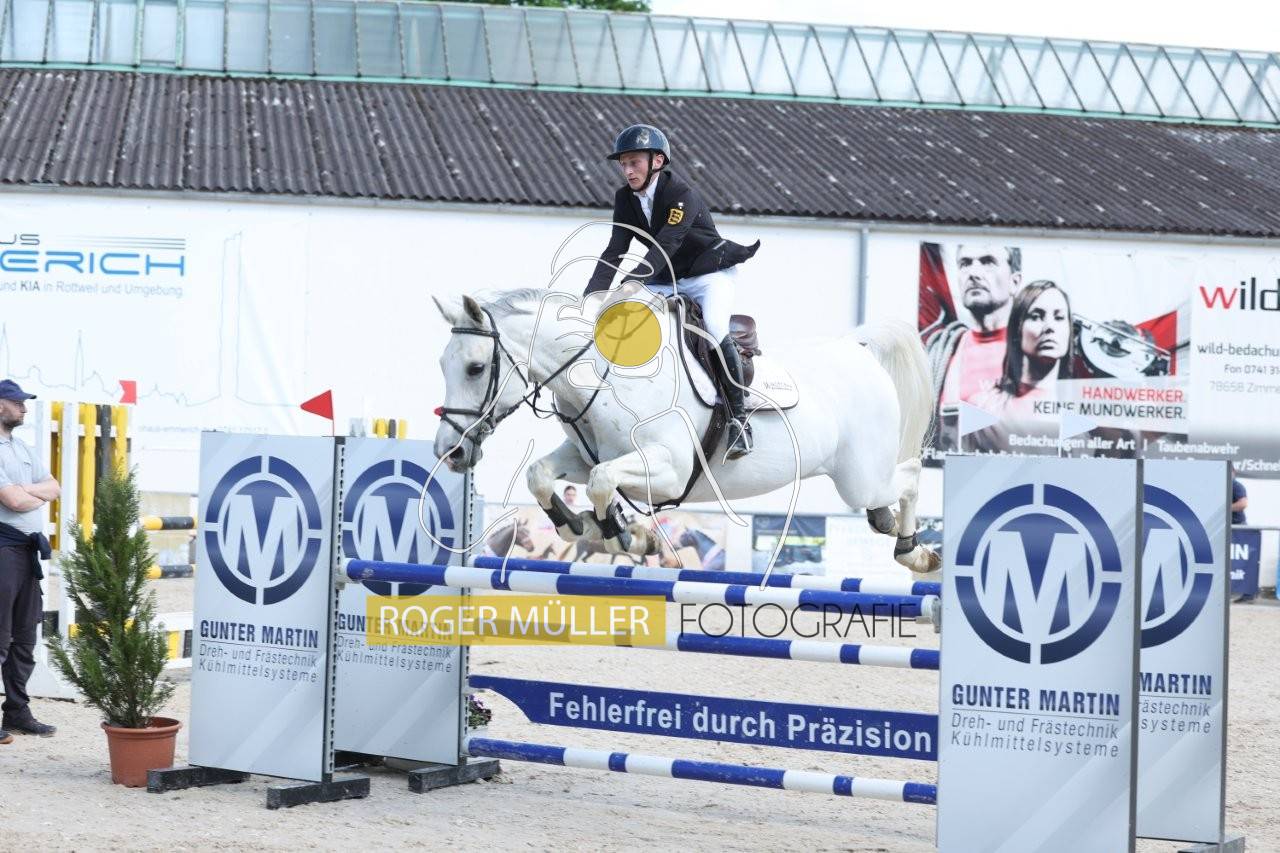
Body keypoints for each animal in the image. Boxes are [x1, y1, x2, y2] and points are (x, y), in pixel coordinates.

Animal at [431, 285, 941, 575]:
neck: (606, 378)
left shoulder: (671, 470)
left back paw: (915, 552)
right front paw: (583, 525)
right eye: (444, 364)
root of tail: (857, 348)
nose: (450, 452)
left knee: (911, 476)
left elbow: (602, 482)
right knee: (891, 494)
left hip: (860, 477)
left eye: (476, 368)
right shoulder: (585, 455)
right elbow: (543, 475)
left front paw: (624, 534)